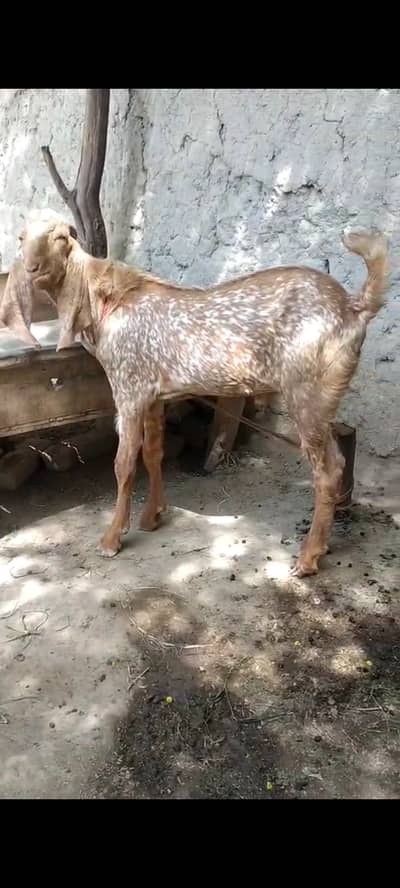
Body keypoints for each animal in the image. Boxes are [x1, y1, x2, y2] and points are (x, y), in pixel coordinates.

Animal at [4, 215, 388, 576]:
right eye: (21, 237)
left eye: (60, 237)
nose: (32, 268)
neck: (105, 305)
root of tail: (354, 307)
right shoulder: (154, 395)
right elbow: (153, 454)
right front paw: (152, 517)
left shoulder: (128, 388)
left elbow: (124, 463)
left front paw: (112, 539)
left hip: (308, 391)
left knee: (328, 468)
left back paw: (307, 559)